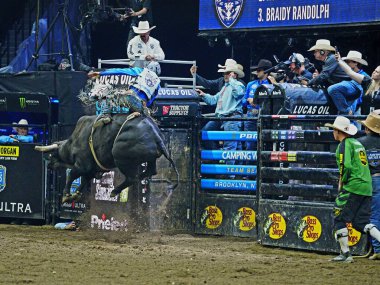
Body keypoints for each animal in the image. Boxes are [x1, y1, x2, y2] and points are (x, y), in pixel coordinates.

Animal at [35, 112, 179, 203]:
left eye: (52, 155)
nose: (49, 165)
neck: (72, 143)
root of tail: (157, 136)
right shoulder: (92, 170)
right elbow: (84, 180)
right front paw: (75, 195)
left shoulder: (82, 165)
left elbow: (72, 175)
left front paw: (66, 195)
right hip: (150, 158)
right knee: (150, 171)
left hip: (120, 157)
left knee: (132, 178)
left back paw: (114, 191)